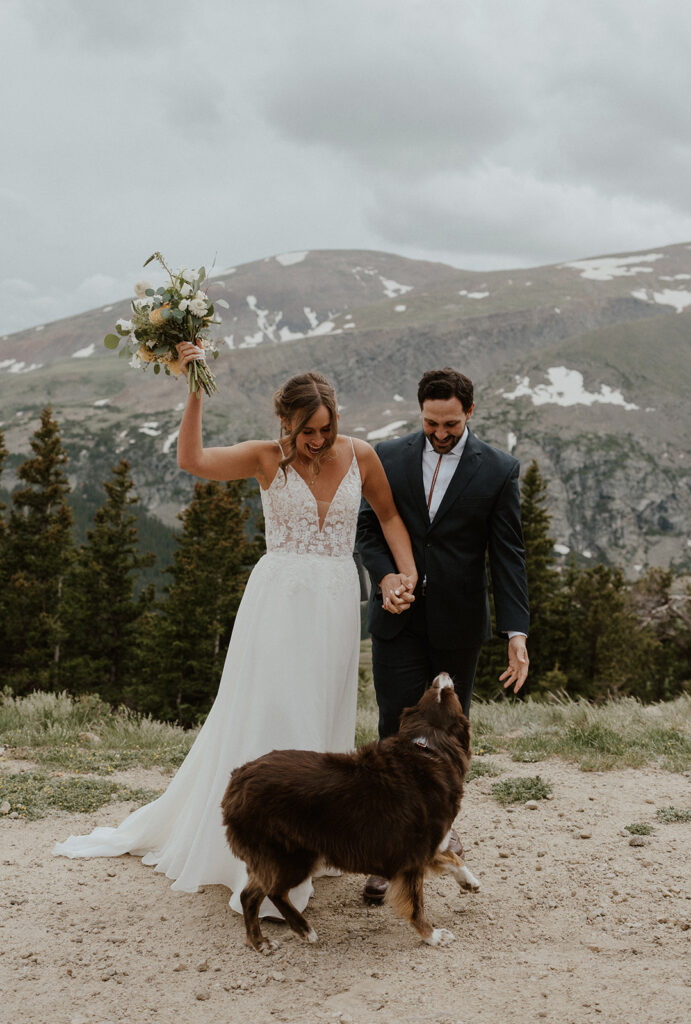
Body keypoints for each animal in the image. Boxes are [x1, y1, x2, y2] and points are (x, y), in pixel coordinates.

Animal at [223, 671, 481, 950]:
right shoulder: (413, 856)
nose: (442, 676)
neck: (428, 745)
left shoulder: (424, 848)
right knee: (266, 892)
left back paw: (263, 939)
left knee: (250, 894)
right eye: (445, 693)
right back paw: (295, 932)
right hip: (294, 855)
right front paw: (432, 935)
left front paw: (469, 881)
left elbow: (453, 858)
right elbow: (416, 905)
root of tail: (237, 779)